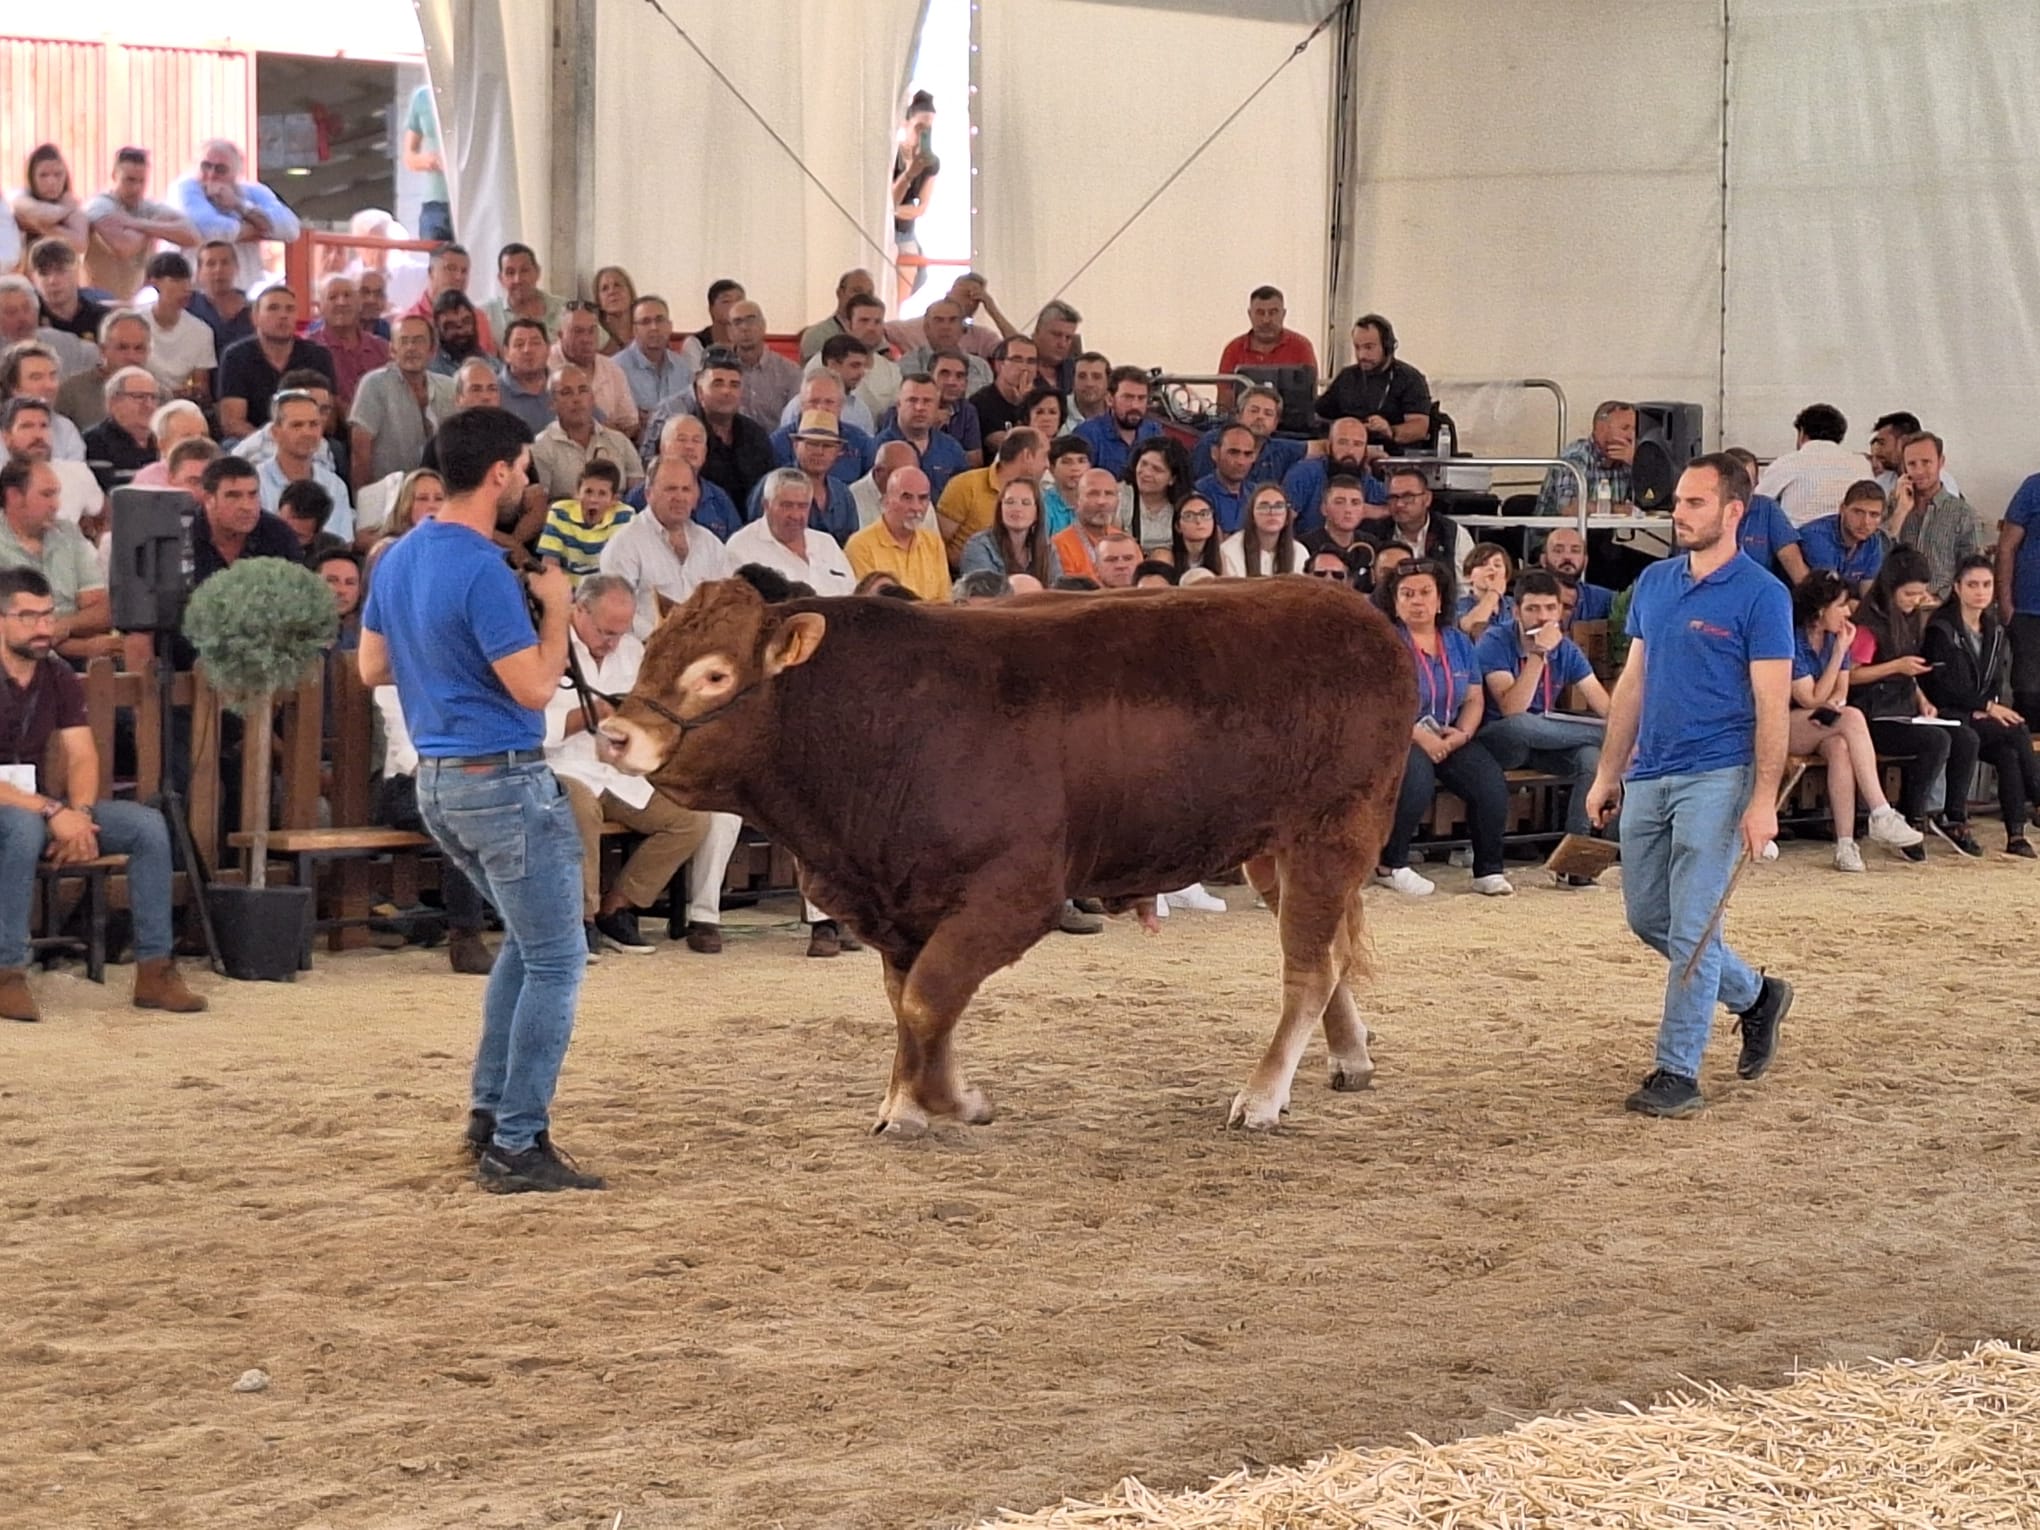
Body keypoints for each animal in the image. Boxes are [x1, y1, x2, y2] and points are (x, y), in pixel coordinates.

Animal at [595, 579, 1411, 1134]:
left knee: (1308, 970)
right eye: (650, 653)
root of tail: (1357, 612)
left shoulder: (1014, 893)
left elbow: (929, 998)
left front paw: (953, 1102)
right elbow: (910, 1002)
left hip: (1333, 829)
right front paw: (907, 1101)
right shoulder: (898, 900)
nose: (613, 735)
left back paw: (1262, 1096)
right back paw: (1350, 1056)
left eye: (714, 674)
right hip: (1273, 851)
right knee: (1327, 954)